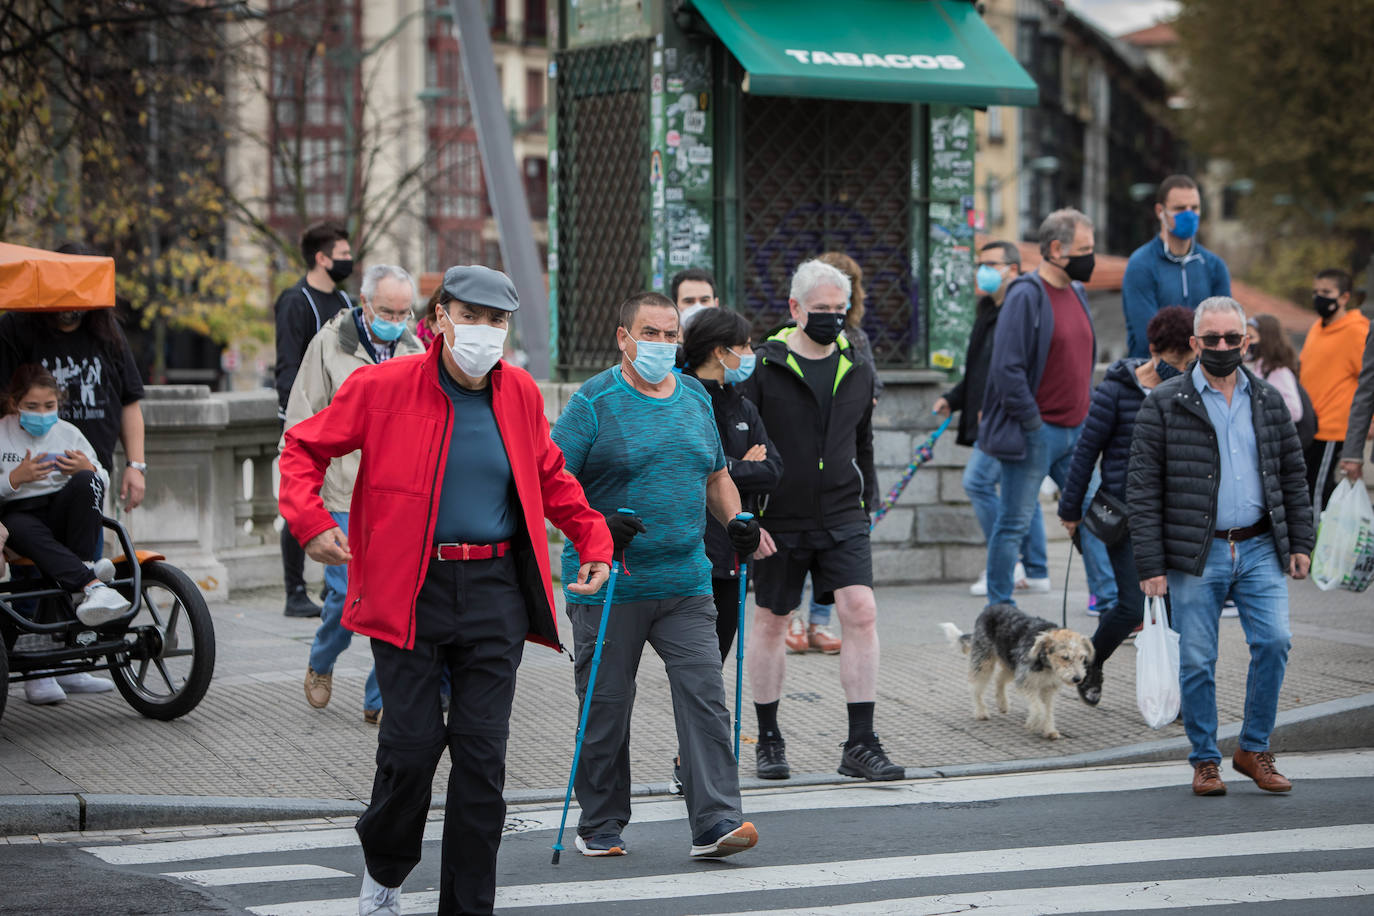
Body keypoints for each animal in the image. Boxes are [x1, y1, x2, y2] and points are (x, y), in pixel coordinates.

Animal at [934, 604, 1093, 741]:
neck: (1045, 663)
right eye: (1065, 657)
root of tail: (989, 608)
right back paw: (981, 712)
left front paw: (1049, 730)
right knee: (975, 687)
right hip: (984, 662)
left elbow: (1047, 710)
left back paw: (1002, 704)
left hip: (1010, 664)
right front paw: (1033, 724)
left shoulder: (1047, 687)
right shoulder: (1026, 682)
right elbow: (1038, 709)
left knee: (999, 679)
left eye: (1082, 657)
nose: (1078, 679)